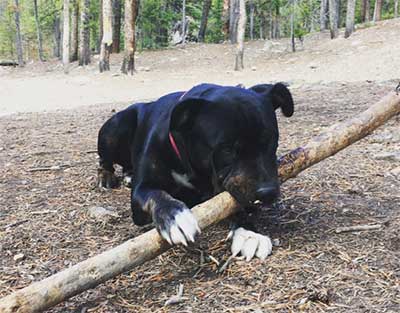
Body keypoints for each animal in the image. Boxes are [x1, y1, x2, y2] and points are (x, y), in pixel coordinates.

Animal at [96, 83, 294, 260]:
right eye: (227, 149)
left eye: (271, 141)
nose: (268, 192)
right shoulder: (142, 191)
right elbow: (156, 195)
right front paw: (175, 216)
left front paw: (249, 232)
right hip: (115, 127)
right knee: (105, 159)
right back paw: (106, 176)